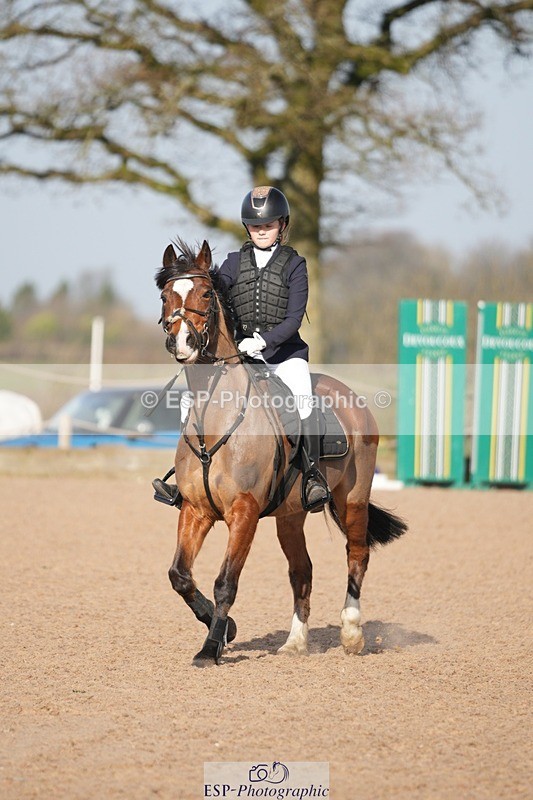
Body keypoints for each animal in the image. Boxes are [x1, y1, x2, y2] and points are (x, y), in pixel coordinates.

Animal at [156, 238, 407, 666]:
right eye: (164, 296)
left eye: (205, 293)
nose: (182, 343)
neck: (215, 418)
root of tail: (352, 398)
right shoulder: (195, 509)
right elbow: (180, 576)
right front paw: (226, 630)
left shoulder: (243, 512)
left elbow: (226, 582)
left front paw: (210, 647)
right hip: (290, 515)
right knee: (302, 571)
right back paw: (295, 642)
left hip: (353, 499)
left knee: (357, 555)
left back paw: (352, 633)